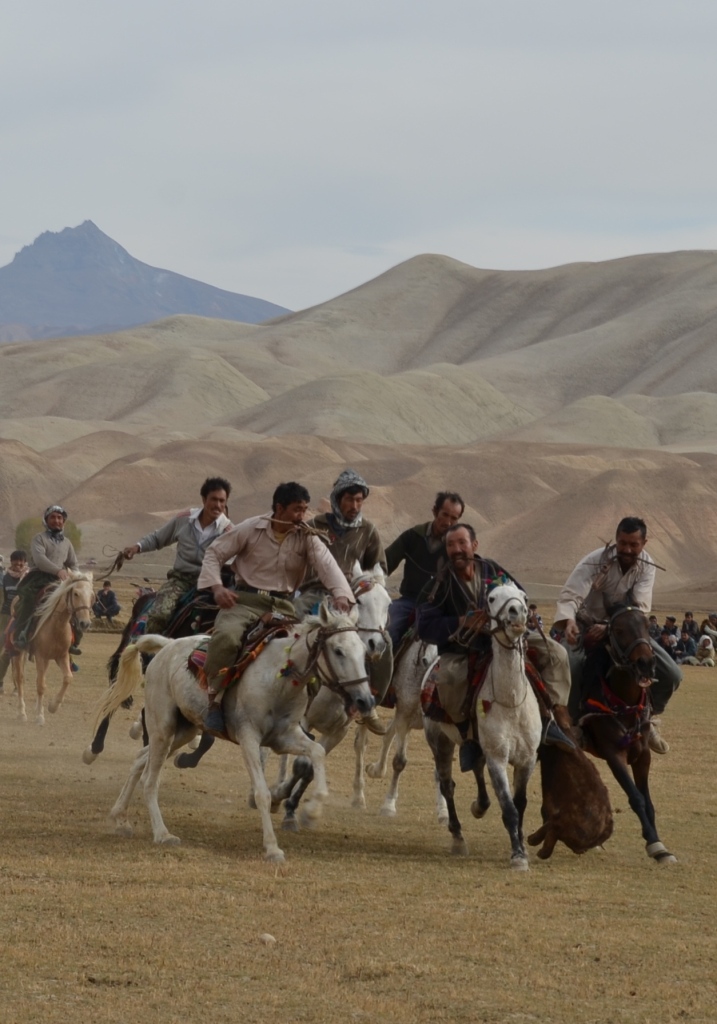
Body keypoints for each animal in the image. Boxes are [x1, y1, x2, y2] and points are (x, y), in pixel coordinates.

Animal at [11, 573, 94, 725]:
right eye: (76, 593)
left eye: (92, 595)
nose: (85, 623)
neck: (57, 624)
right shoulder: (40, 656)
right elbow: (41, 685)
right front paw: (40, 716)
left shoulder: (62, 656)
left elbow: (68, 678)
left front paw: (53, 706)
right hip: (19, 652)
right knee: (19, 678)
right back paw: (21, 712)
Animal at [91, 603, 375, 863]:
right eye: (338, 650)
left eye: (363, 651)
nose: (366, 700)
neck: (279, 678)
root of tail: (167, 647)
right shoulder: (249, 738)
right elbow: (261, 793)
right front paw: (272, 847)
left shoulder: (285, 737)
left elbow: (316, 753)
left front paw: (314, 809)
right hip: (163, 727)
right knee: (150, 779)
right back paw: (162, 834)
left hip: (183, 731)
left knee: (140, 759)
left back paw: (120, 818)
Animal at [425, 582, 542, 870]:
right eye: (492, 598)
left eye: (523, 597)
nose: (517, 613)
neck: (511, 703)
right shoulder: (497, 758)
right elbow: (509, 808)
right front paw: (518, 857)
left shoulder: (527, 759)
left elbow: (520, 804)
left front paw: (523, 846)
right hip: (439, 742)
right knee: (447, 785)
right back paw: (458, 837)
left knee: (476, 767)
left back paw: (480, 805)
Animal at [577, 605, 676, 864]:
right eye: (619, 630)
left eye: (647, 626)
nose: (646, 662)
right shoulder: (614, 755)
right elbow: (636, 798)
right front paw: (654, 844)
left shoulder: (642, 756)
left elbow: (648, 801)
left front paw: (660, 846)